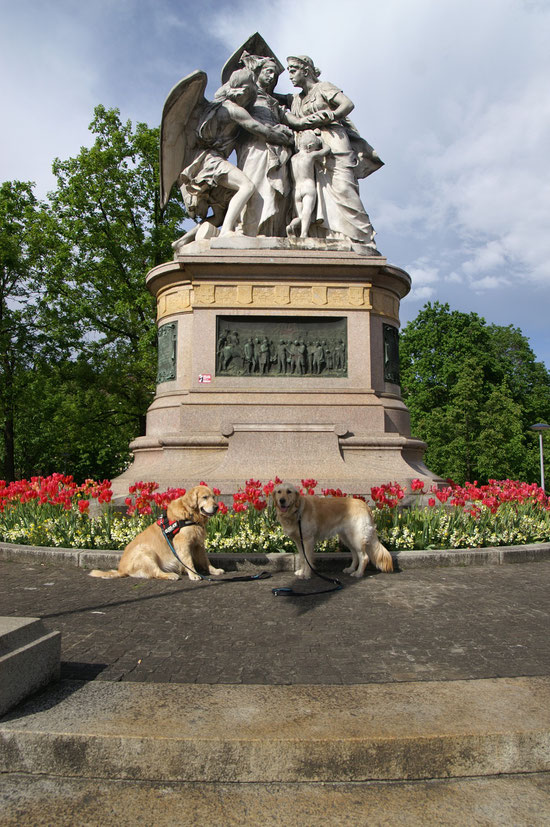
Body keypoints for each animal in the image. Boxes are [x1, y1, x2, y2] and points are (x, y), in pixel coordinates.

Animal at [89, 486, 223, 584]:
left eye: (213, 497)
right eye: (205, 497)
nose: (217, 507)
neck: (190, 514)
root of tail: (121, 569)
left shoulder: (198, 544)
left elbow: (205, 560)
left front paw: (214, 570)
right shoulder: (182, 543)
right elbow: (189, 561)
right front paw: (194, 574)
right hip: (146, 552)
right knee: (156, 573)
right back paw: (171, 575)